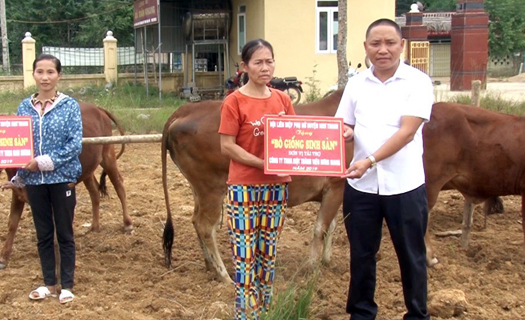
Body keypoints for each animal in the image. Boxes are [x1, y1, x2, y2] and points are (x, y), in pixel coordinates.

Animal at [0, 101, 131, 268]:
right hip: (88, 169)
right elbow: (12, 223)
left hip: (108, 155)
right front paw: (3, 257)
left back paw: (127, 223)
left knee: (119, 185)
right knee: (94, 191)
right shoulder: (17, 193)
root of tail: (98, 108)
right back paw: (94, 227)